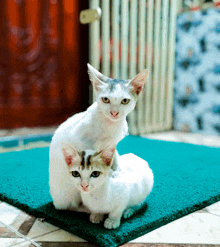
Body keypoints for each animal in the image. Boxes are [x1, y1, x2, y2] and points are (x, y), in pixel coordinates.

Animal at [48, 63, 148, 210]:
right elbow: (89, 155)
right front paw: (106, 172)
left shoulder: (113, 143)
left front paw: (116, 170)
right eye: (106, 99)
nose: (114, 113)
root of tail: (56, 202)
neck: (110, 125)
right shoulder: (79, 138)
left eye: (124, 101)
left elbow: (113, 156)